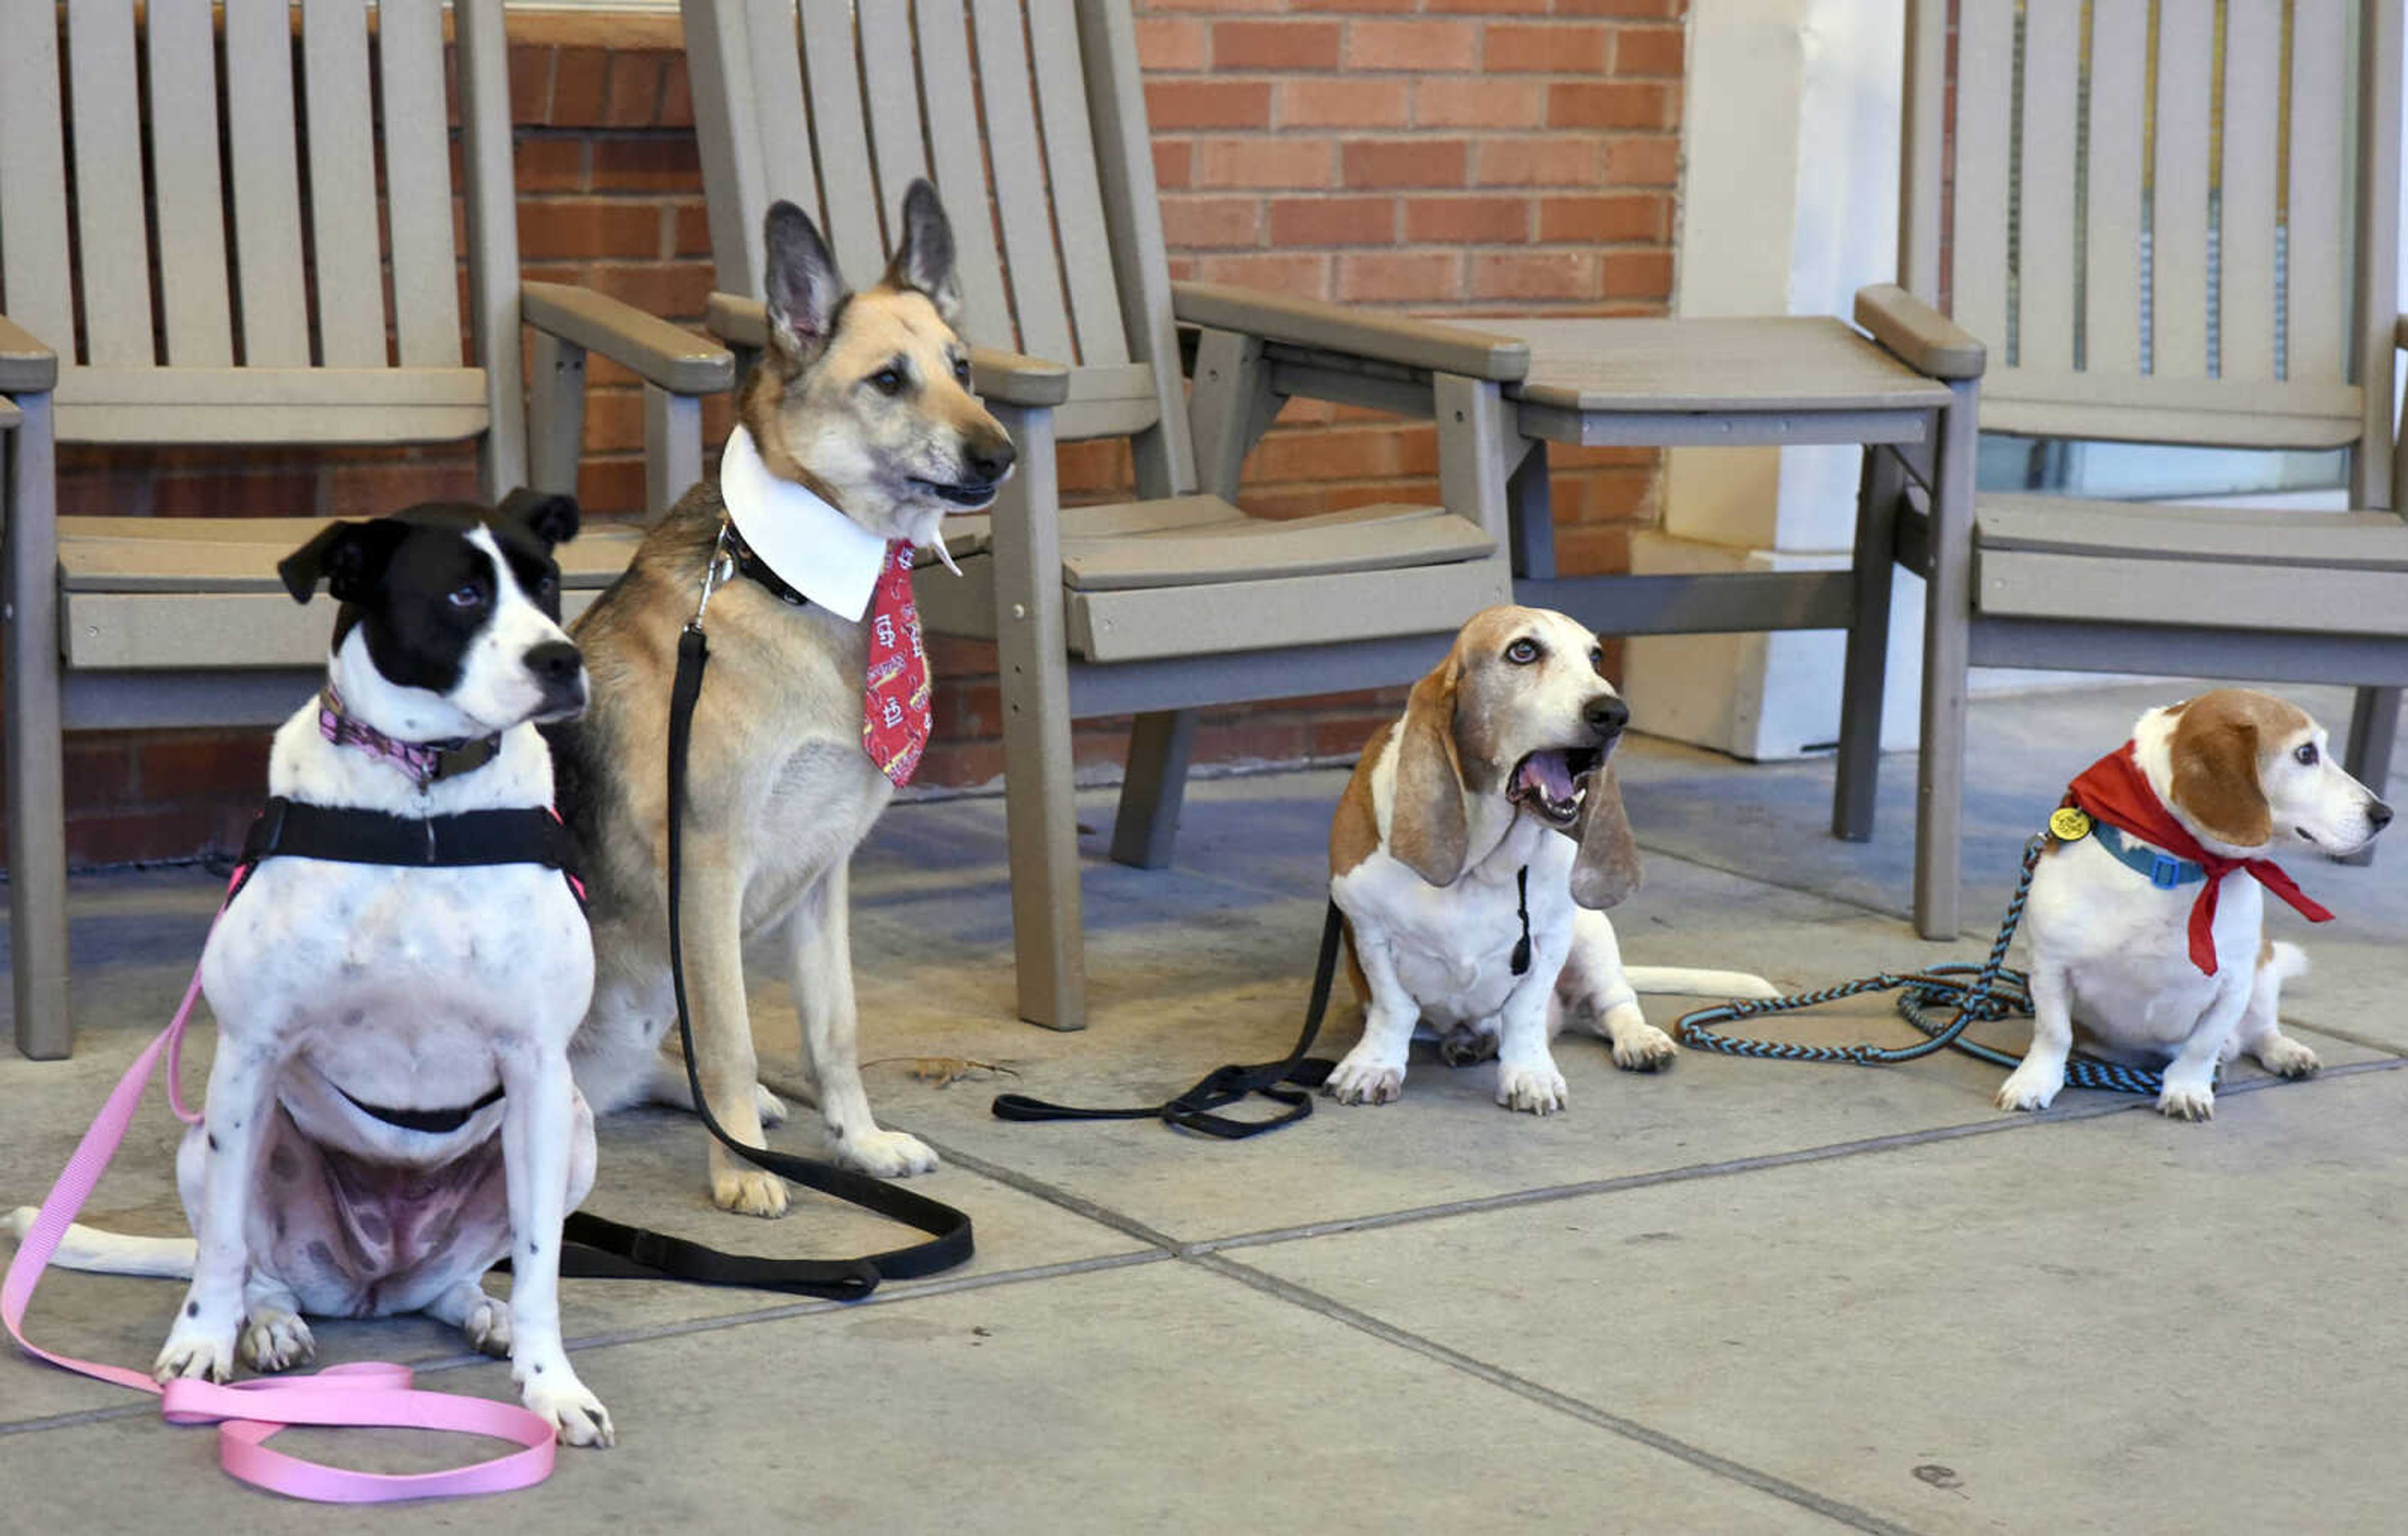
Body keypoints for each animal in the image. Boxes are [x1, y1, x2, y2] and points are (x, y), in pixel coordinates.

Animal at [11, 500, 611, 1454]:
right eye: (463, 592)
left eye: (547, 583)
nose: (560, 659)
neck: (423, 796)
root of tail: (373, 1283)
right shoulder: (249, 1055)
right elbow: (222, 1245)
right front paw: (201, 1344)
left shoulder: (538, 1069)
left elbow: (541, 1264)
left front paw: (551, 1383)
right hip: (206, 1140)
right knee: (255, 1264)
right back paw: (267, 1323)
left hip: (576, 1131)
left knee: (471, 1272)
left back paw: (483, 1312)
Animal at [551, 182, 1011, 1213]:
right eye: (889, 380)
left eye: (963, 367)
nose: (1000, 454)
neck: (788, 578)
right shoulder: (710, 869)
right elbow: (728, 1035)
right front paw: (741, 1173)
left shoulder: (824, 873)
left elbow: (832, 1029)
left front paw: (861, 1143)